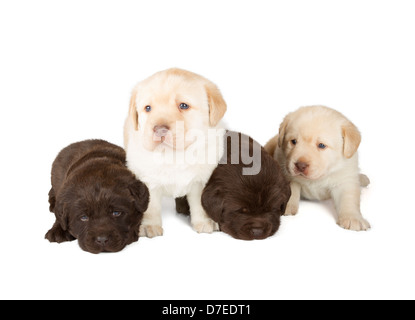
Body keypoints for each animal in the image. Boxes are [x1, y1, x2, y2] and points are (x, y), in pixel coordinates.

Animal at [123, 68, 228, 238]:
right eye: (148, 108)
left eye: (183, 106)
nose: (159, 129)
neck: (173, 155)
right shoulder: (147, 180)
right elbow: (150, 206)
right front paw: (149, 225)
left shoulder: (201, 180)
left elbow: (200, 202)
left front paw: (204, 222)